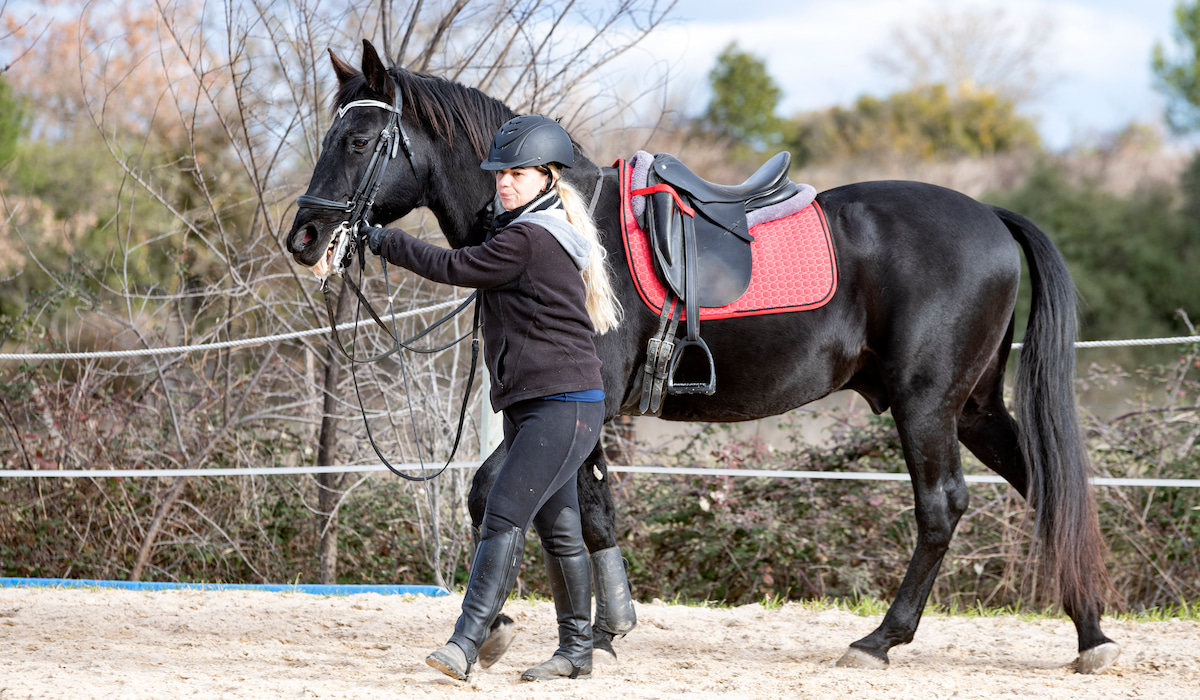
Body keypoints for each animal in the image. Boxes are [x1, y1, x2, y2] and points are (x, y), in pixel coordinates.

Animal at [286, 40, 1120, 674]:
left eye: (357, 141)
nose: (304, 238)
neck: (563, 224)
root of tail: (992, 217)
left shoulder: (576, 410)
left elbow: (496, 494)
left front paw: (502, 631)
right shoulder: (589, 415)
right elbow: (589, 511)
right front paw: (605, 629)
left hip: (927, 406)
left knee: (942, 507)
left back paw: (882, 639)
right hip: (972, 407)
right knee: (1045, 487)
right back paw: (1092, 635)